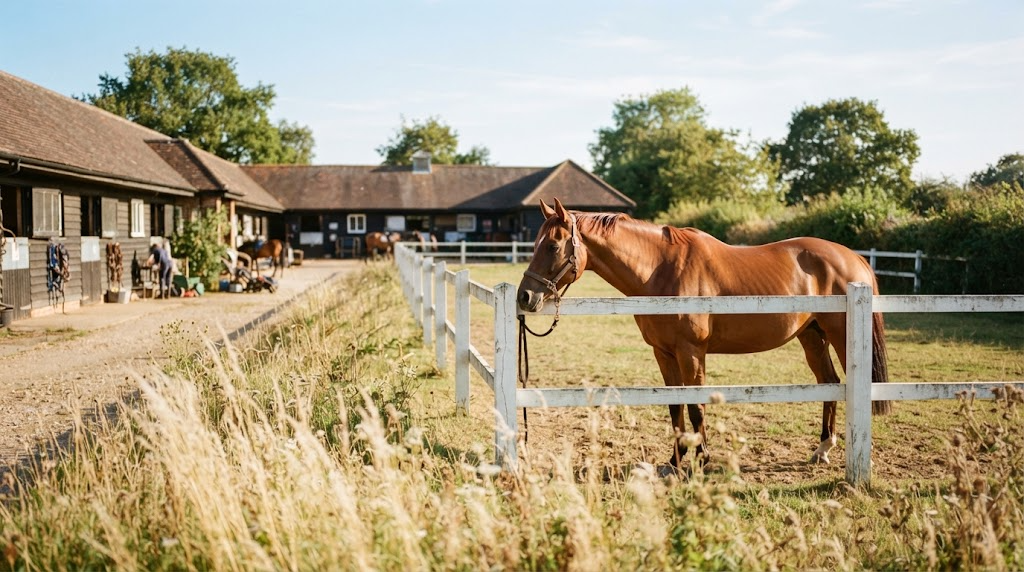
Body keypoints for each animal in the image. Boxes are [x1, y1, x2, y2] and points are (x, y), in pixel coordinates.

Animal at [517, 198, 891, 470]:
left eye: (553, 246)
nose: (525, 297)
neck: (661, 269)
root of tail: (854, 257)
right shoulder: (664, 353)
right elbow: (675, 406)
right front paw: (675, 460)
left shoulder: (691, 352)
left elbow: (696, 406)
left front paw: (701, 459)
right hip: (812, 338)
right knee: (829, 383)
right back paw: (823, 448)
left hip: (840, 336)